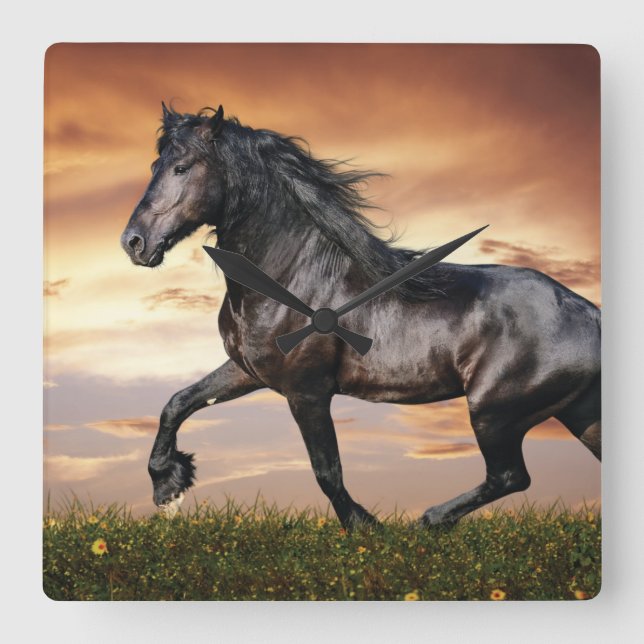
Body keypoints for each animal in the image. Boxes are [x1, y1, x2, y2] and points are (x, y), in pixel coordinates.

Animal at [121, 104, 601, 528]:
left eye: (182, 168)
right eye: (154, 165)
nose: (134, 242)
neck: (292, 279)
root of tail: (588, 314)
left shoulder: (307, 392)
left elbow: (327, 471)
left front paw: (366, 527)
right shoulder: (247, 371)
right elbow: (177, 403)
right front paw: (168, 486)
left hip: (493, 412)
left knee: (509, 476)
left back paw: (428, 521)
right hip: (578, 415)